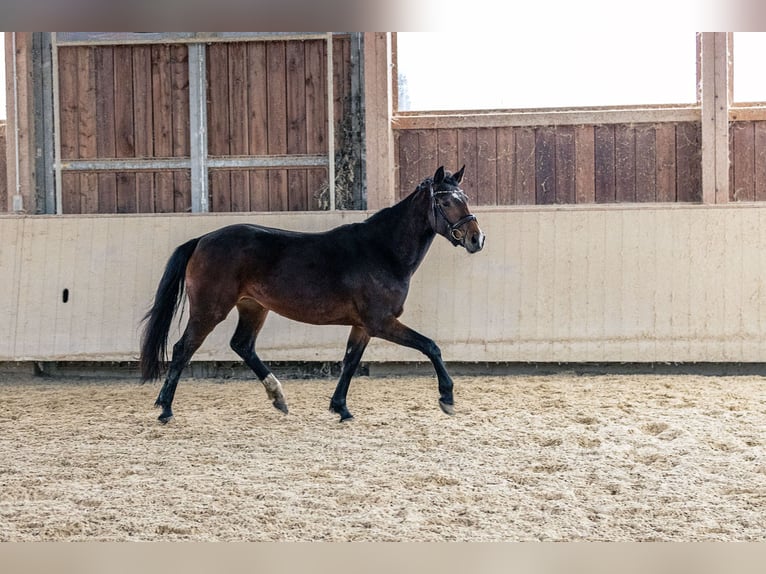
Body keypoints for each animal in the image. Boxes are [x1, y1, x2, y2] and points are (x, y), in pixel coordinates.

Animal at [140, 165, 486, 424]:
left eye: (465, 197)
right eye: (445, 202)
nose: (476, 239)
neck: (382, 250)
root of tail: (202, 240)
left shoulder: (362, 326)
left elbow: (350, 361)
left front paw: (341, 408)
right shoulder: (381, 322)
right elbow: (431, 347)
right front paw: (447, 397)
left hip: (253, 307)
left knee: (242, 345)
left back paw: (278, 398)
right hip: (210, 309)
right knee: (183, 348)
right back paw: (165, 409)